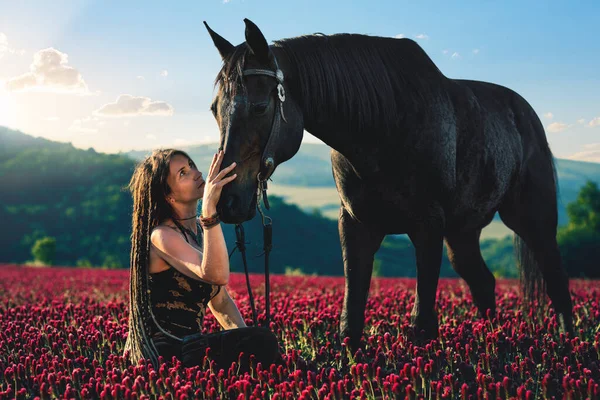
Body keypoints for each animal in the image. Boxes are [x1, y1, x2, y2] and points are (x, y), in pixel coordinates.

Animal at [204, 18, 576, 350]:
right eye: (214, 110)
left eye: (259, 106)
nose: (227, 201)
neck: (381, 126)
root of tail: (525, 112)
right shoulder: (356, 224)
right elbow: (351, 319)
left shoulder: (428, 225)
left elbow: (422, 323)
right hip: (462, 232)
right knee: (484, 283)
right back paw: (494, 338)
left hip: (532, 218)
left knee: (556, 280)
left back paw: (566, 342)